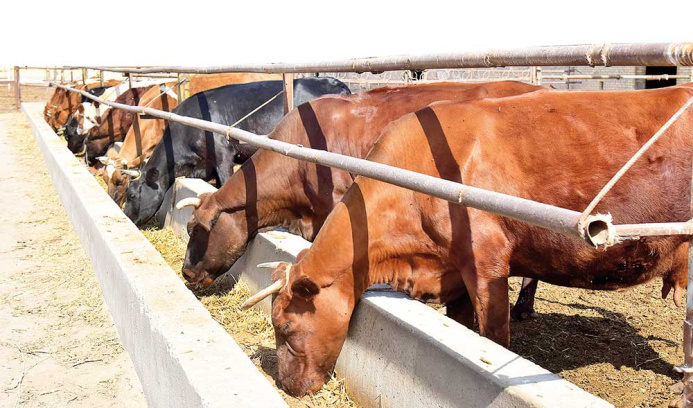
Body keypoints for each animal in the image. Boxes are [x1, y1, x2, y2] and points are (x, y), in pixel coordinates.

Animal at [122, 76, 352, 226]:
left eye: (131, 195)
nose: (127, 217)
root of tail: (335, 81)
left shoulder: (223, 154)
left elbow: (224, 183)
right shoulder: (205, 165)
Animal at [242, 85, 692, 396]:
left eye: (285, 326)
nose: (286, 385)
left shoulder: (487, 264)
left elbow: (493, 338)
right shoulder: (452, 270)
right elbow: (461, 326)